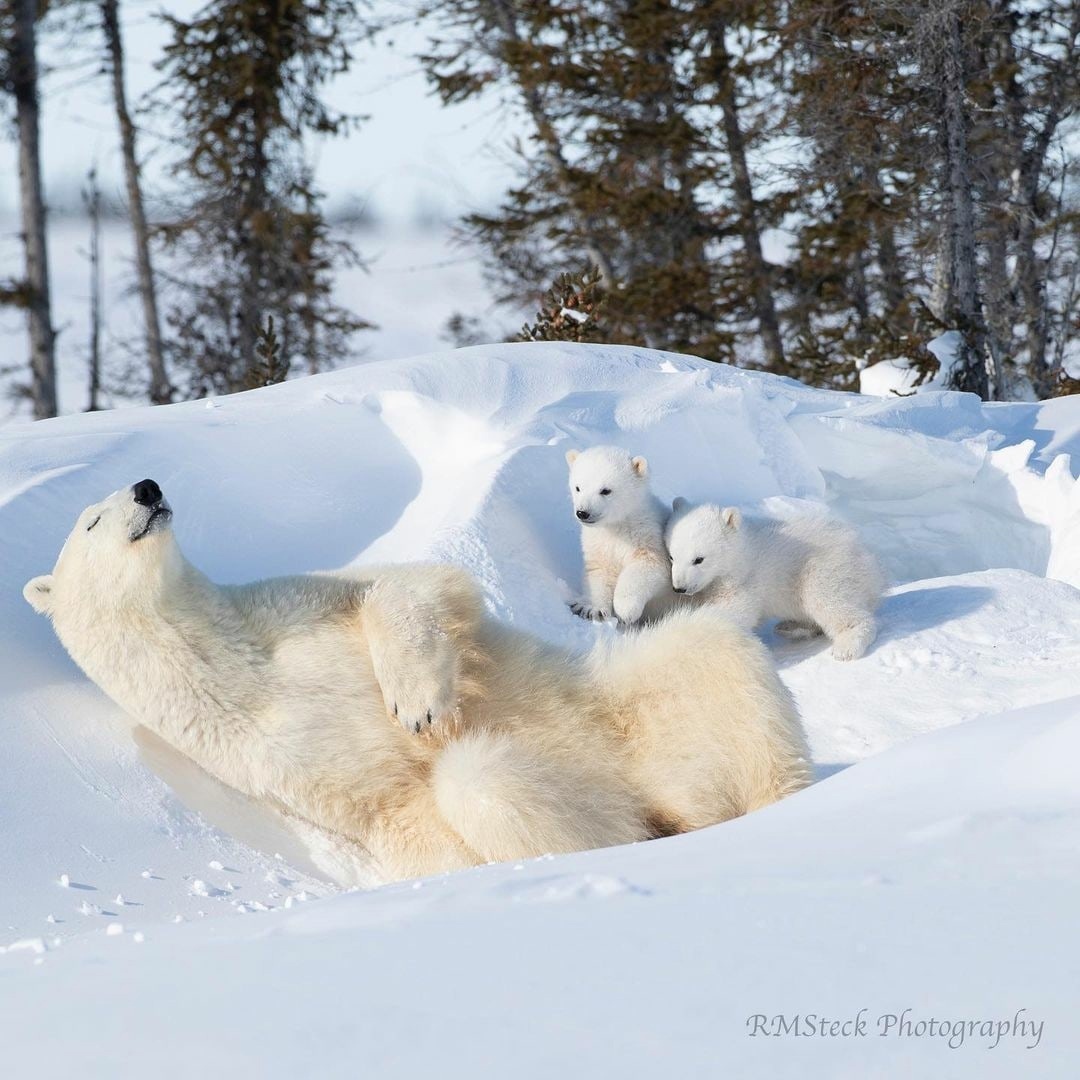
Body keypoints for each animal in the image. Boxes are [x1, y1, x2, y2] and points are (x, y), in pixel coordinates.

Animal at [23, 477, 812, 881]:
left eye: (106, 504)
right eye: (91, 521)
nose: (146, 486)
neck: (224, 658)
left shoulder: (286, 607)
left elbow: (415, 585)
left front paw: (417, 703)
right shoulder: (265, 759)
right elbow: (410, 819)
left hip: (635, 701)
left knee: (718, 664)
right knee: (488, 781)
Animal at [665, 496, 885, 656]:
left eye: (699, 559)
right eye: (671, 556)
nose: (679, 588)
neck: (743, 555)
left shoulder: (745, 582)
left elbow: (732, 613)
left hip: (825, 567)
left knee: (828, 599)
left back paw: (847, 646)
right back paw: (791, 626)